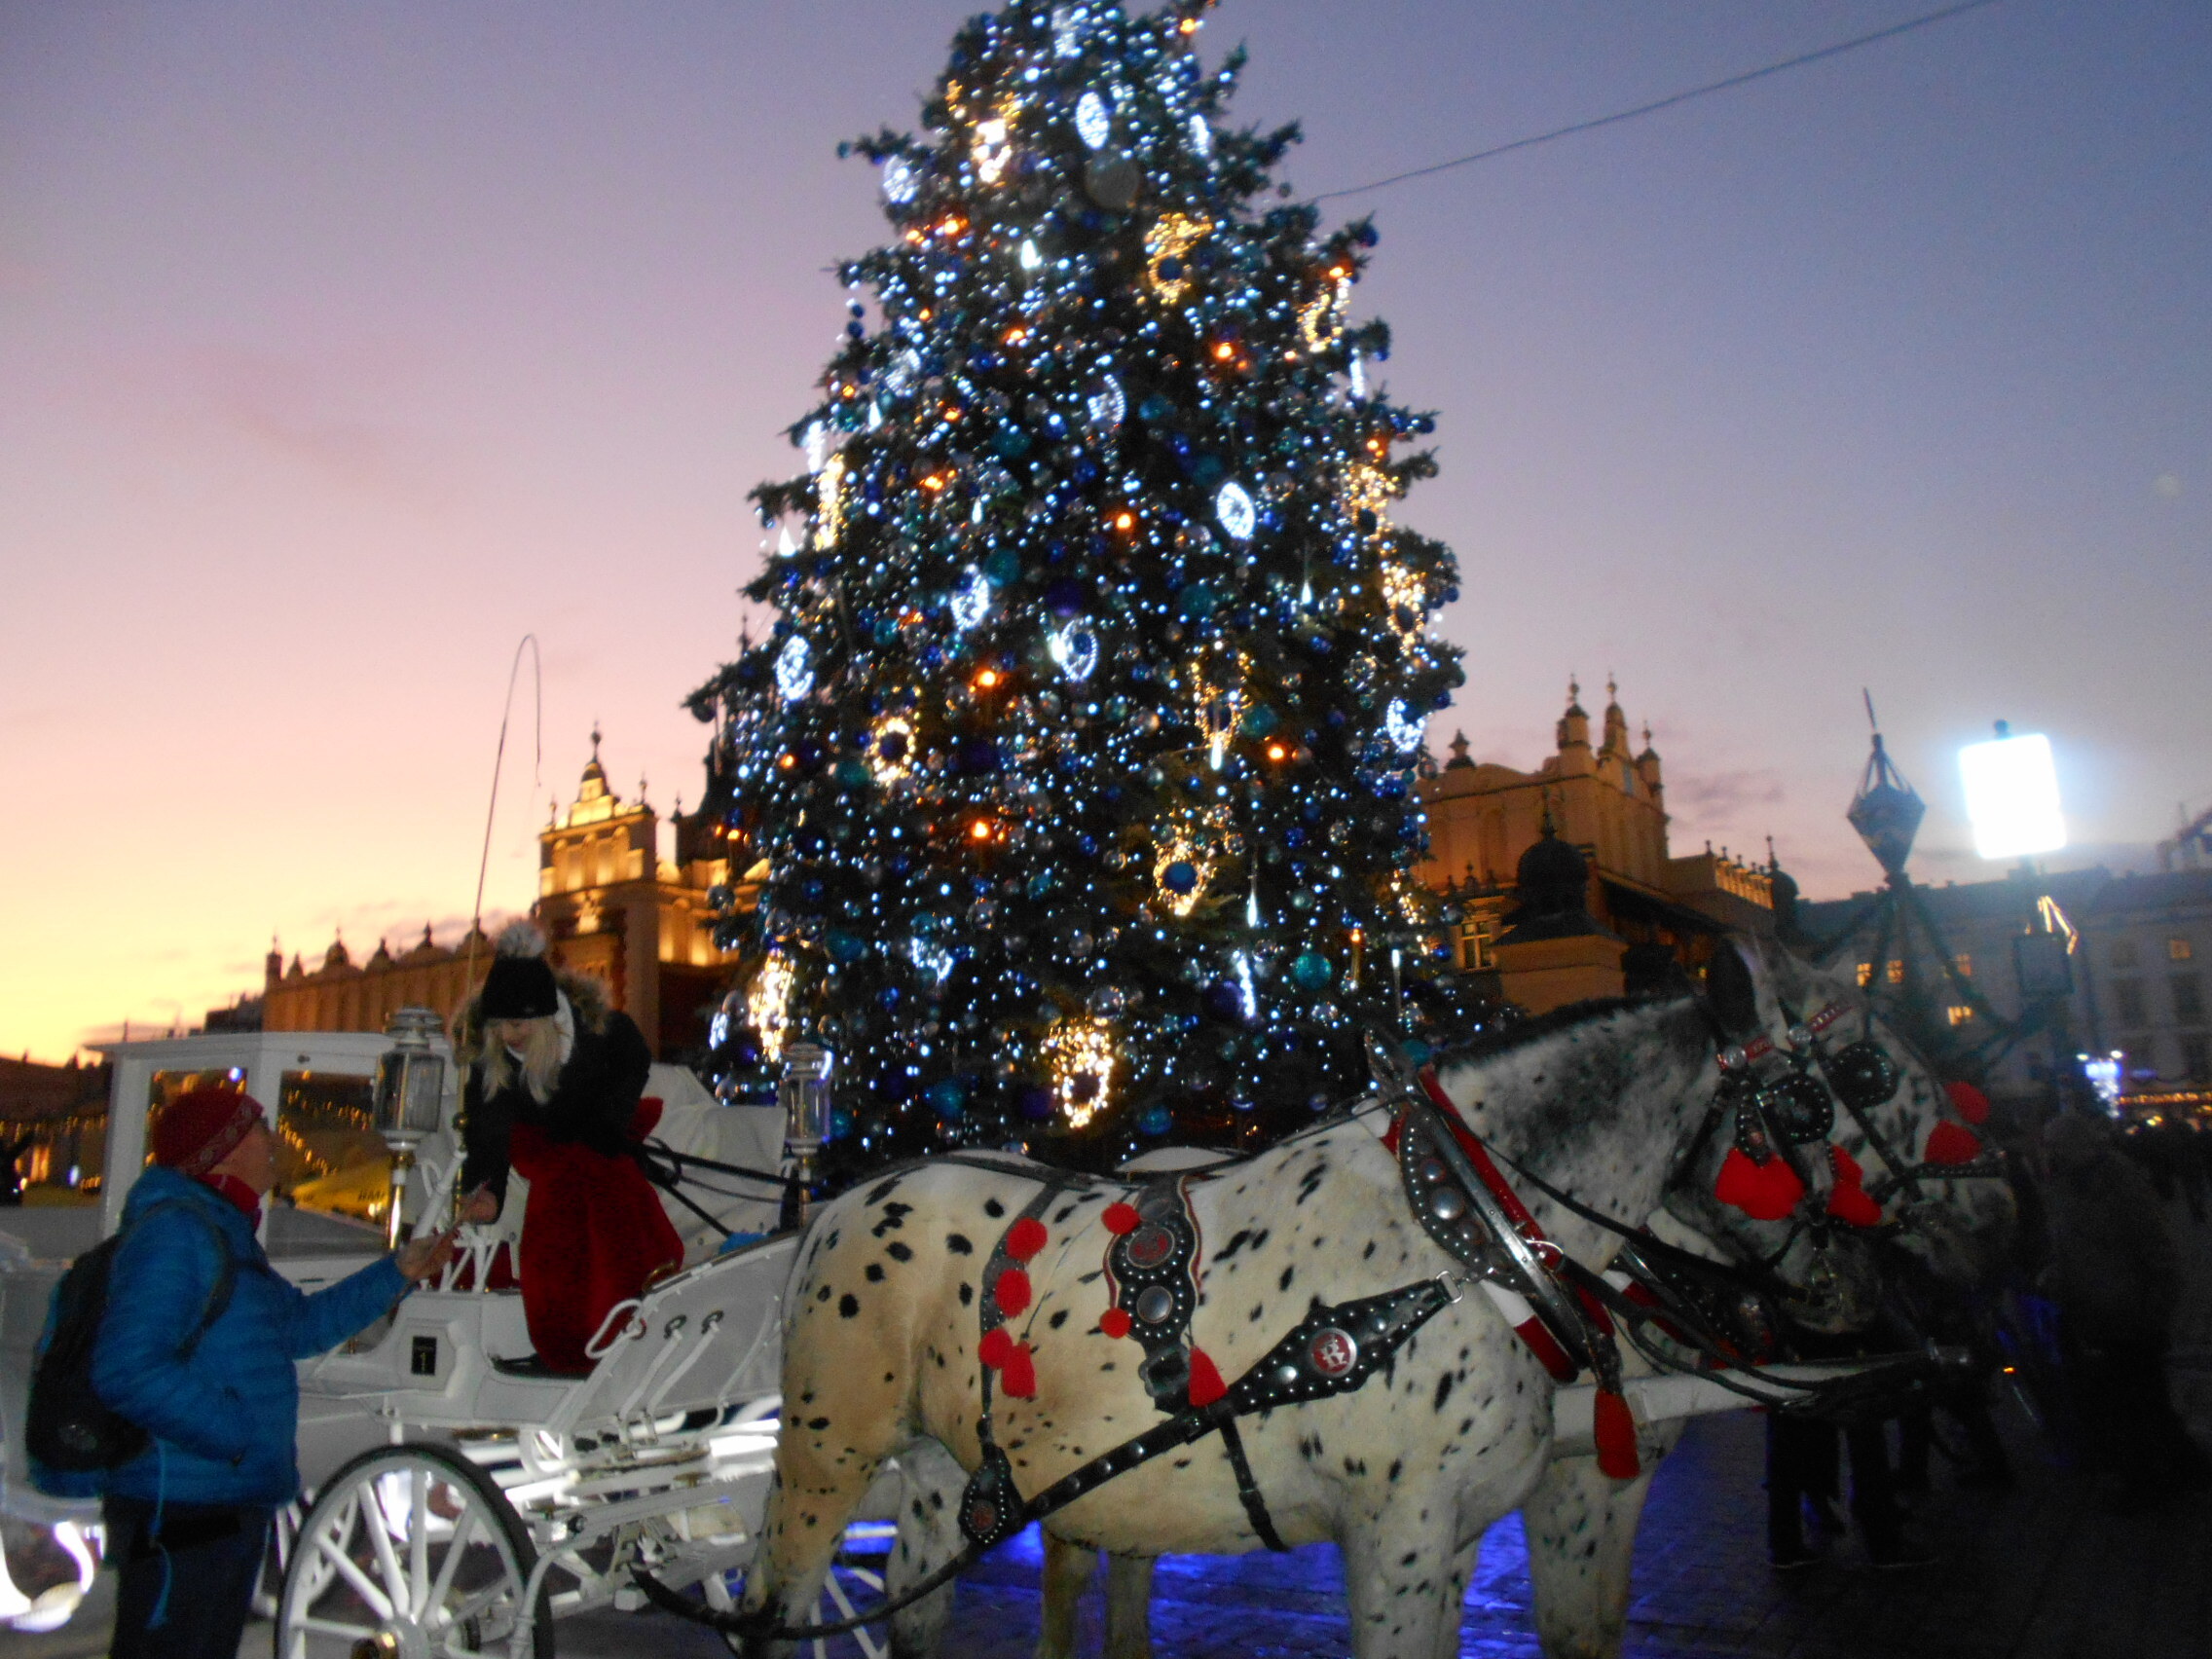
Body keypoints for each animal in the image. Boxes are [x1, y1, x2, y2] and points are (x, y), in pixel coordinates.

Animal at [734, 933, 2009, 1659]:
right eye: (1865, 1073)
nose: (2003, 1207)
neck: (1473, 1247)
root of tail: (843, 1199)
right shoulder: (1404, 1528)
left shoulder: (1501, 1516)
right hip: (822, 1455)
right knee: (772, 1611)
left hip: (942, 1475)